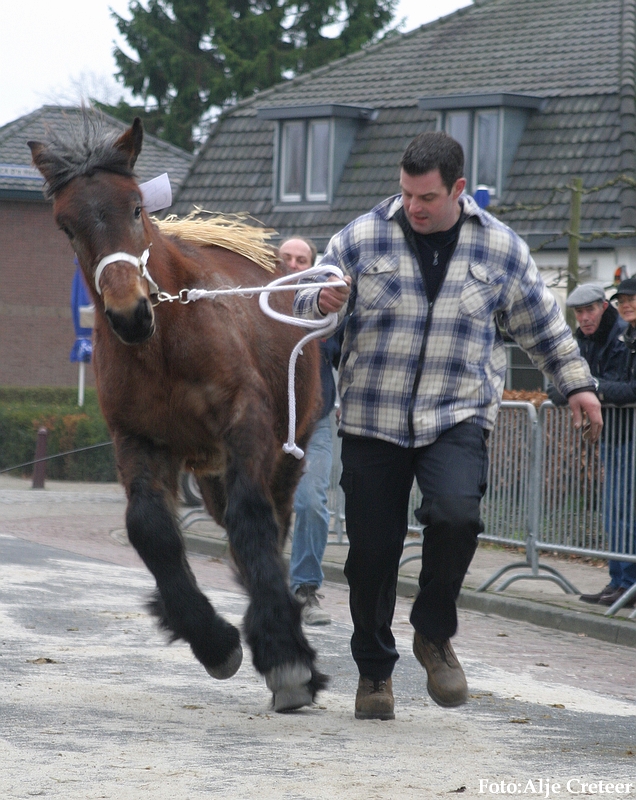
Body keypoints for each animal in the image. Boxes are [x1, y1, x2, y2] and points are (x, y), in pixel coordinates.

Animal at [28, 115, 328, 708]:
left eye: (135, 207)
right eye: (66, 226)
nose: (129, 313)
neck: (164, 345)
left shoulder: (246, 420)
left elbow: (252, 518)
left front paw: (286, 656)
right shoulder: (137, 439)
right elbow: (150, 529)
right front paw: (212, 638)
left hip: (285, 454)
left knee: (272, 521)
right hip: (209, 473)